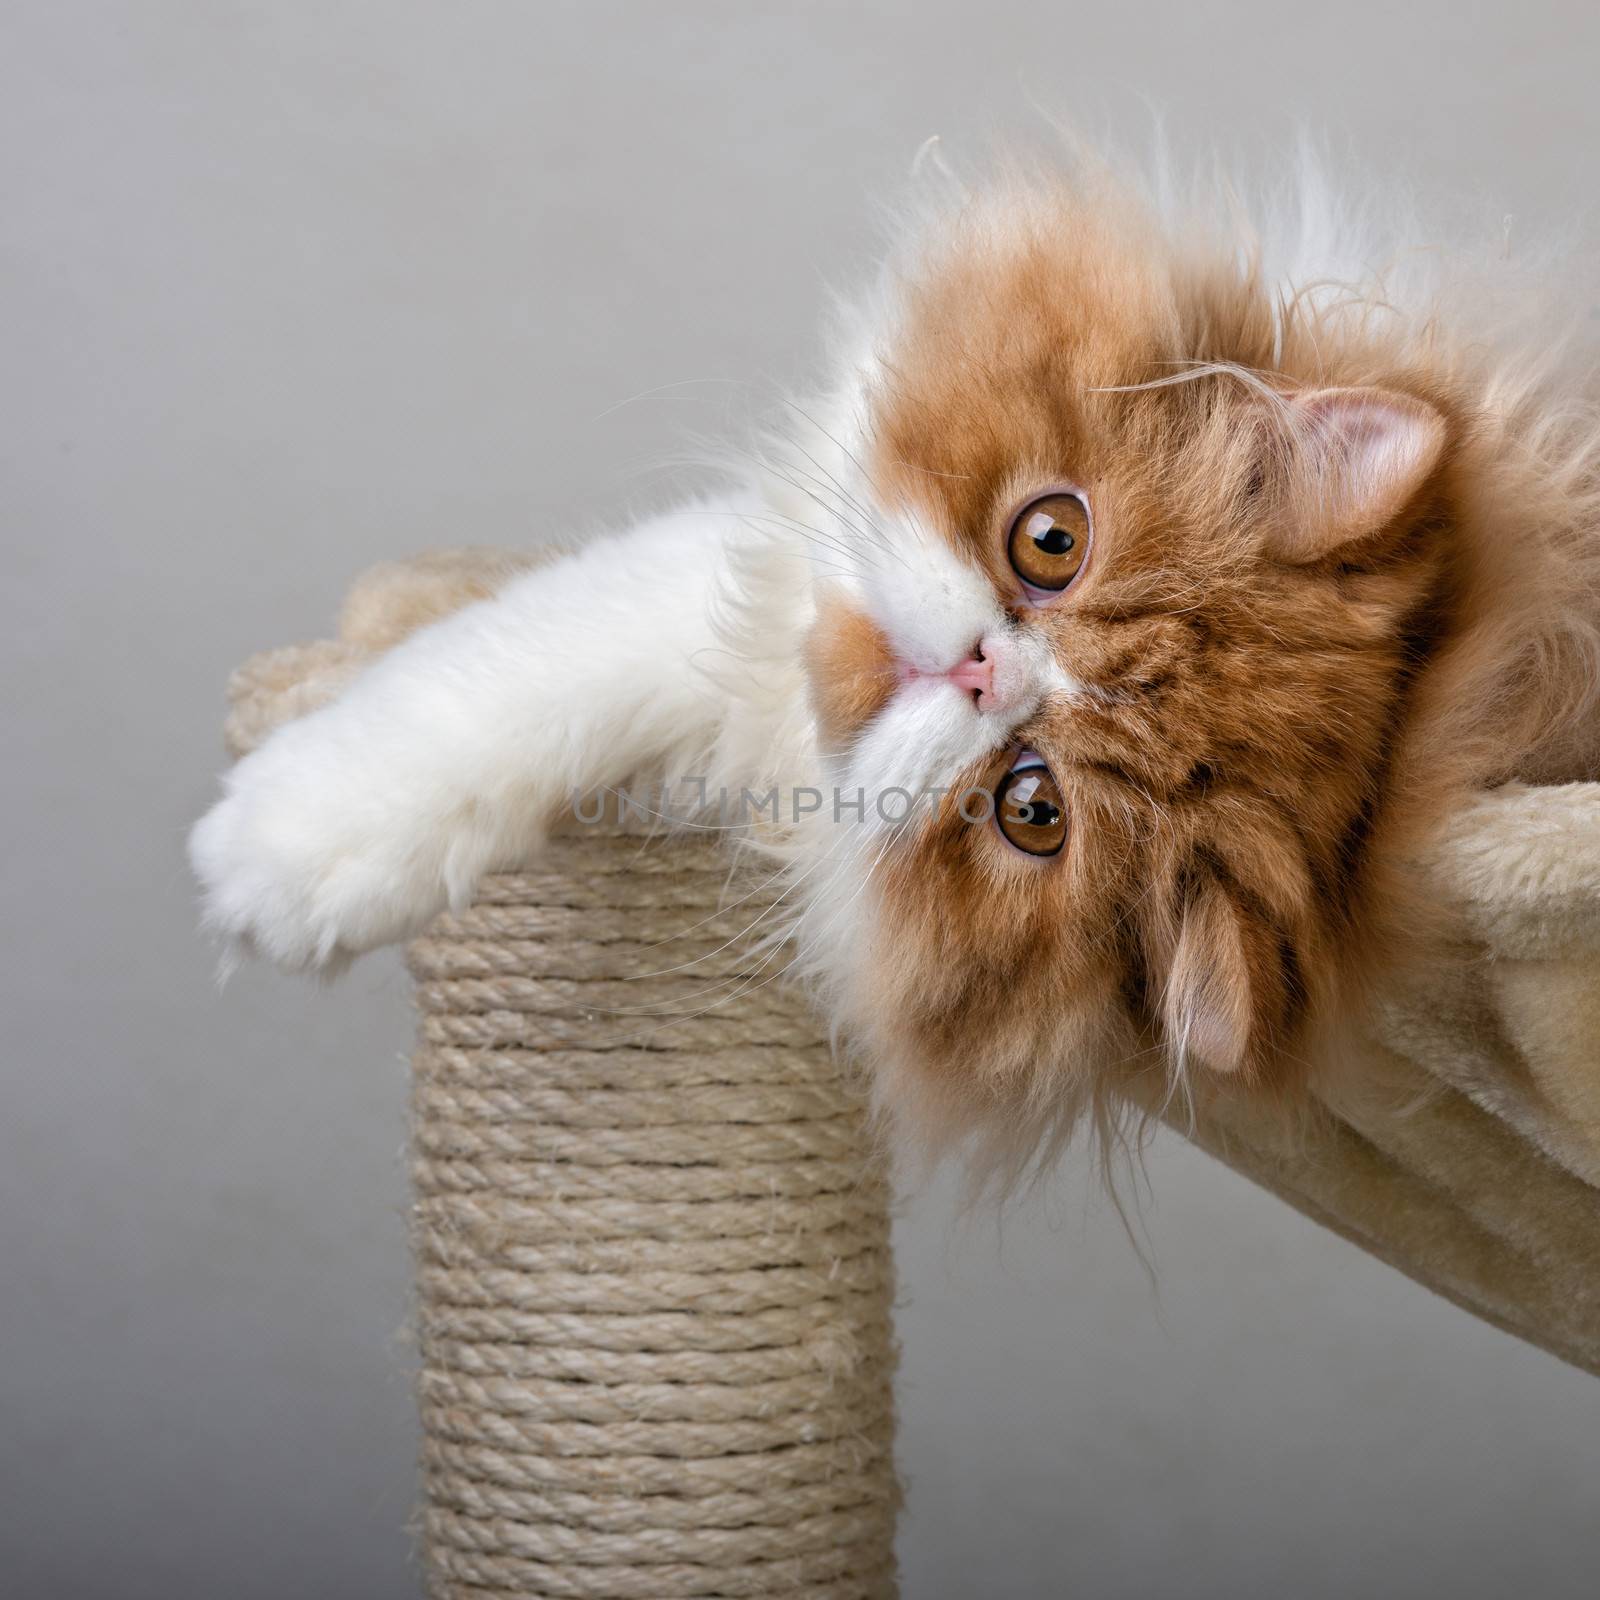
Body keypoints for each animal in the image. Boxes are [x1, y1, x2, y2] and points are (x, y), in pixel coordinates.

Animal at [190, 147, 1600, 1152]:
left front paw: (267, 859)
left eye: (1030, 809)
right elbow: (528, 668)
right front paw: (301, 824)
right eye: (1050, 540)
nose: (977, 668)